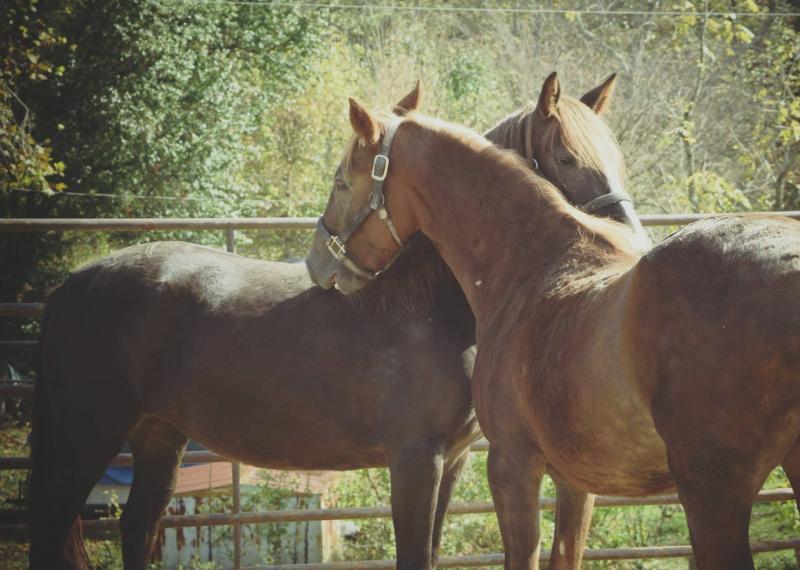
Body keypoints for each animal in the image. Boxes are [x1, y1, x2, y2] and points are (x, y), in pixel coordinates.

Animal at [28, 75, 643, 570]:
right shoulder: (415, 459)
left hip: (158, 436)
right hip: (89, 432)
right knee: (54, 527)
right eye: (566, 158)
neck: (432, 308)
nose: (631, 244)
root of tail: (72, 284)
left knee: (137, 527)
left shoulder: (453, 460)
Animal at [305, 83, 800, 570]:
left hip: (711, 494)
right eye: (568, 158)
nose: (317, 262)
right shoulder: (577, 481)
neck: (535, 261)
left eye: (341, 181)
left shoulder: (511, 466)